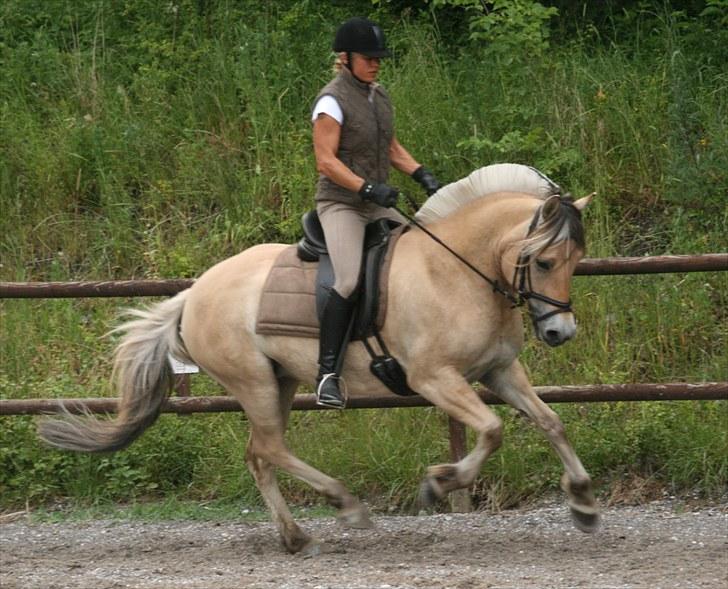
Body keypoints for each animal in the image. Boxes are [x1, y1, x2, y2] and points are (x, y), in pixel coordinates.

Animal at [39, 164, 596, 552]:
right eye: (545, 261)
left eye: (576, 261)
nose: (560, 332)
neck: (455, 271)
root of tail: (194, 293)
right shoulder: (435, 378)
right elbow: (492, 430)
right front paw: (439, 483)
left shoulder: (500, 371)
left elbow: (551, 422)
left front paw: (584, 501)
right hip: (255, 384)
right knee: (270, 448)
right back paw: (345, 505)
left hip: (280, 381)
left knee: (258, 455)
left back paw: (296, 537)